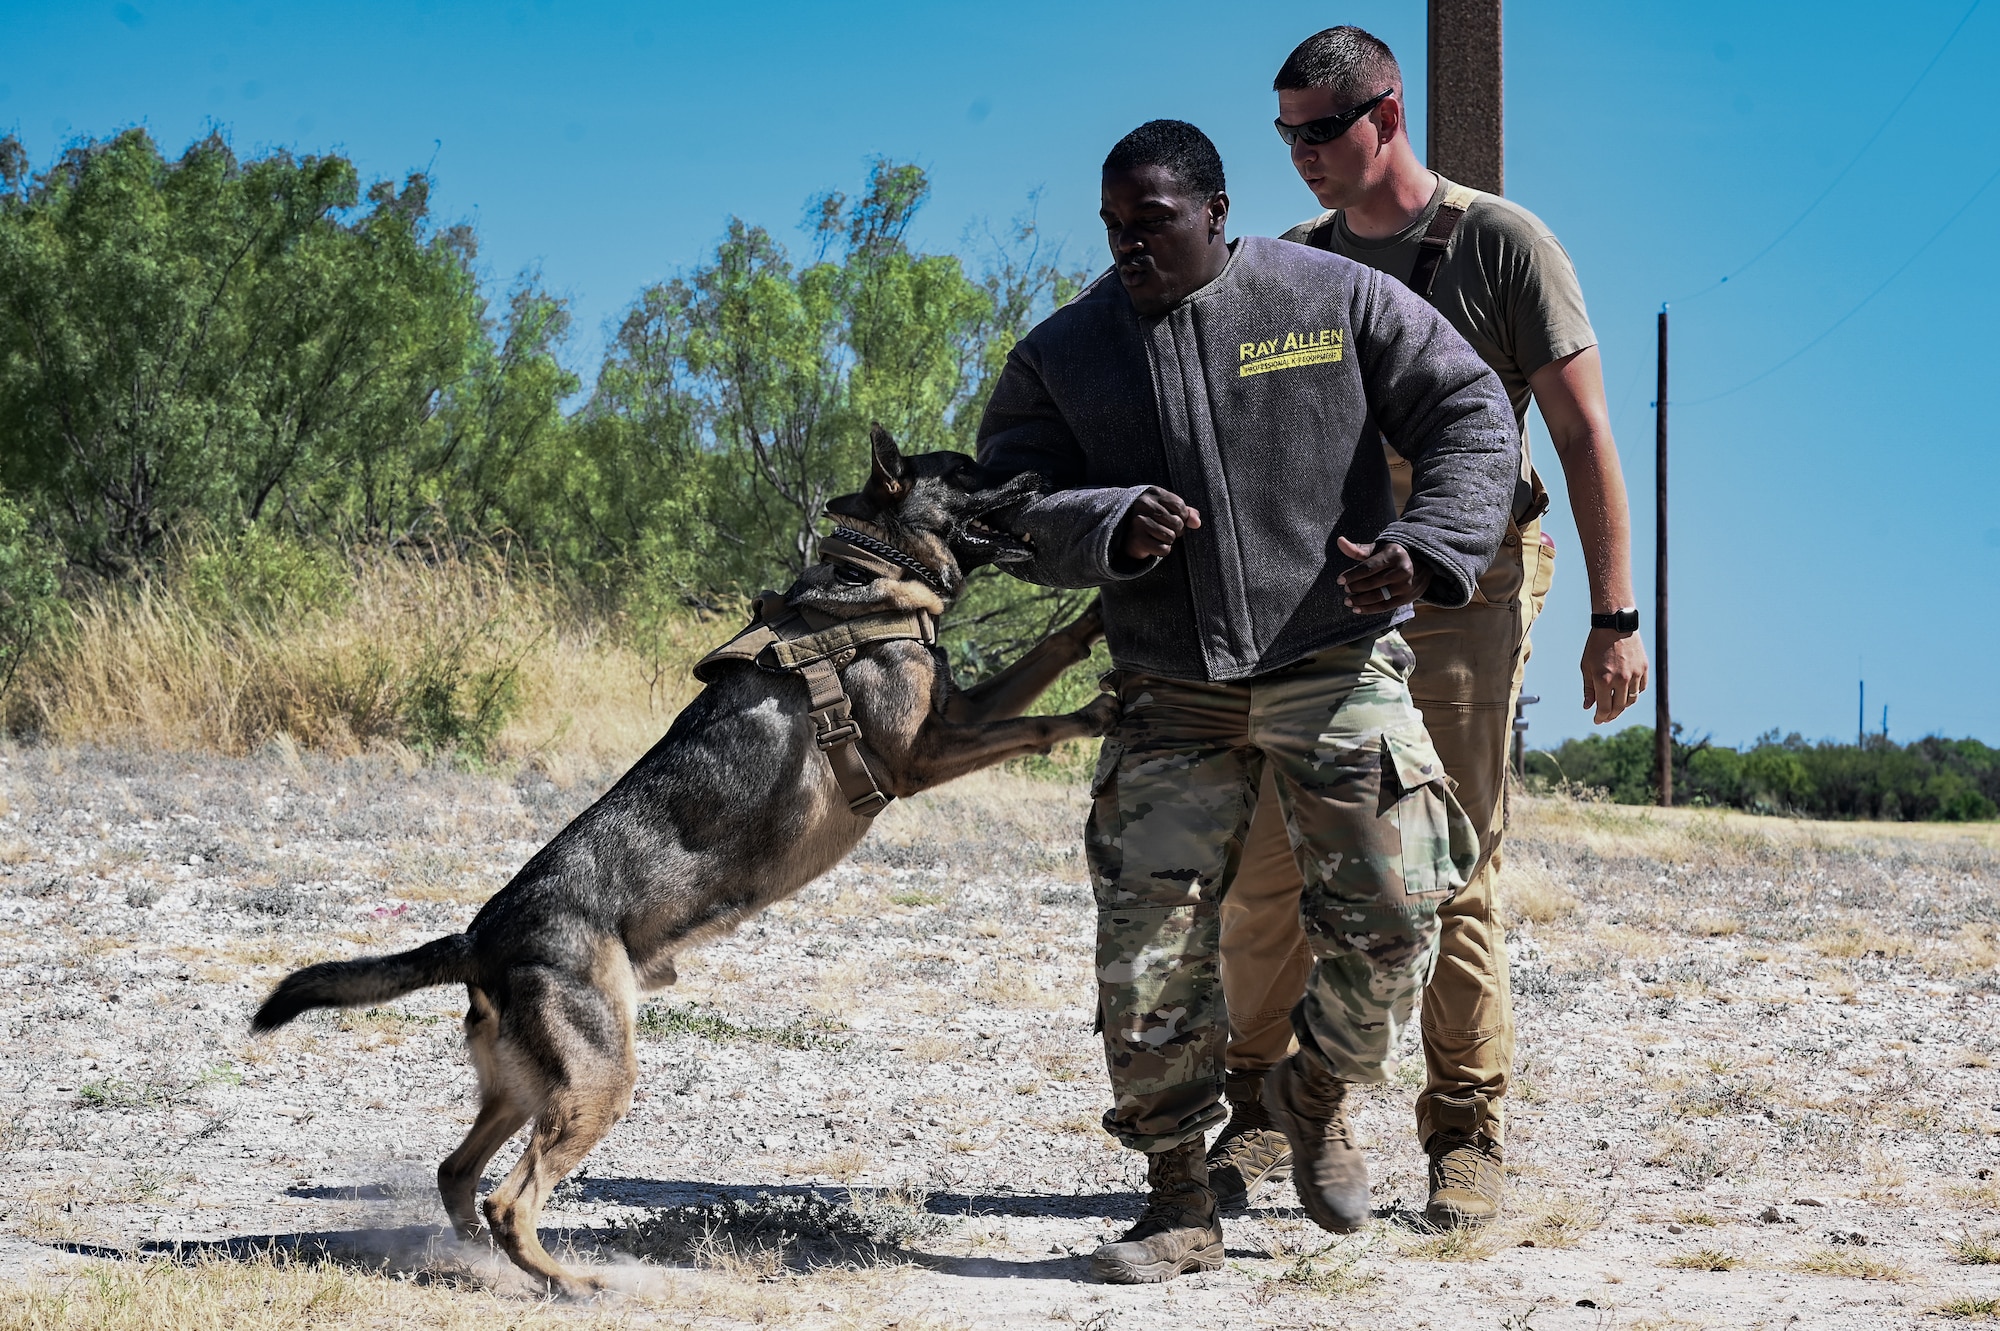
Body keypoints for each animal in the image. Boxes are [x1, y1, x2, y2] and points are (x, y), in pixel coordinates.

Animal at [250, 427, 1112, 1295]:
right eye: (966, 470)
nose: (1039, 473)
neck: (871, 575)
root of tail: (478, 937)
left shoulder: (959, 709)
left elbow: (1044, 655)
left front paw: (1094, 621)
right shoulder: (926, 751)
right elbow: (1037, 724)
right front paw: (1100, 708)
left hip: (525, 1087)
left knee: (457, 1173)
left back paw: (489, 1266)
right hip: (599, 1080)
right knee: (509, 1198)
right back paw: (569, 1281)